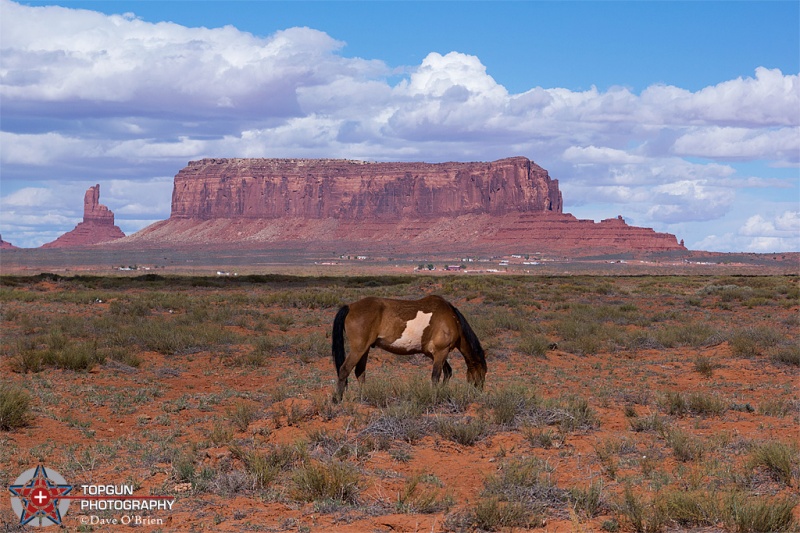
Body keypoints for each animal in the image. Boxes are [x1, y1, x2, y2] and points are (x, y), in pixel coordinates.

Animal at [332, 294, 488, 402]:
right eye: (482, 373)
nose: (479, 393)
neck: (453, 319)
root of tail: (350, 307)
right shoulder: (441, 352)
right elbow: (436, 376)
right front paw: (435, 397)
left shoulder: (434, 354)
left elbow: (447, 372)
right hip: (358, 349)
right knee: (344, 369)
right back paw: (337, 400)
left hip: (365, 349)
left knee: (360, 372)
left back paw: (363, 397)